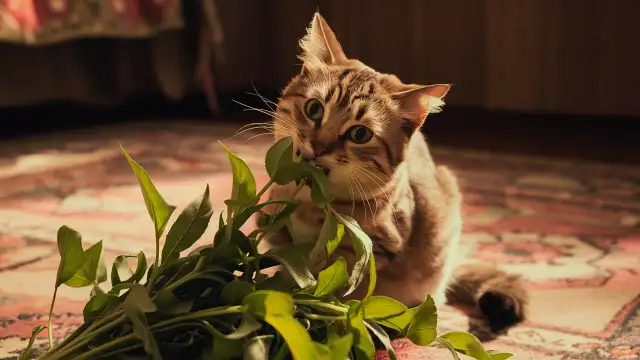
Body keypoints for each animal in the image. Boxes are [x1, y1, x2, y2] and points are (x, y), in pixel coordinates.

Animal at [258, 12, 528, 342]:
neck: (311, 203)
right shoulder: (278, 230)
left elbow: (343, 291)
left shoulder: (371, 252)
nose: (318, 147)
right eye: (314, 108)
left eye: (360, 134)